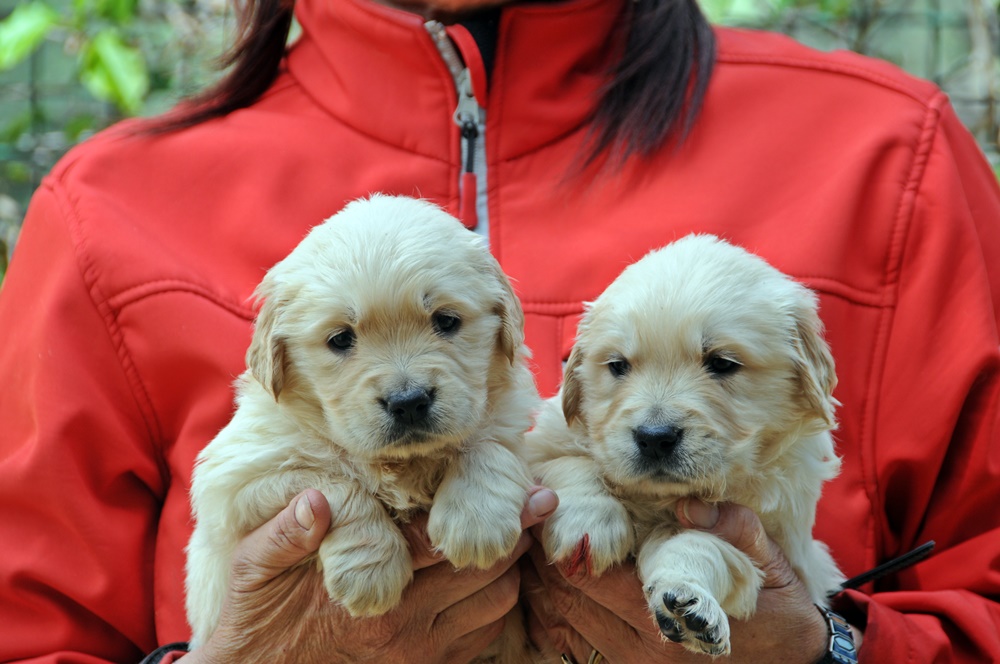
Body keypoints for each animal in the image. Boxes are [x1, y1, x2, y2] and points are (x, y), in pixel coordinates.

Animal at [185, 195, 539, 658]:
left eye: (446, 321)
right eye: (340, 339)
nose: (408, 402)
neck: (402, 464)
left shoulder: (514, 421)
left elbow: (489, 443)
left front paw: (476, 522)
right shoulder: (236, 481)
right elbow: (331, 482)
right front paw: (370, 573)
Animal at [525, 234, 845, 657]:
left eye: (723, 363)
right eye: (617, 365)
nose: (653, 438)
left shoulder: (767, 534)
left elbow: (700, 542)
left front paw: (688, 600)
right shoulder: (542, 441)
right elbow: (567, 463)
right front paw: (589, 521)